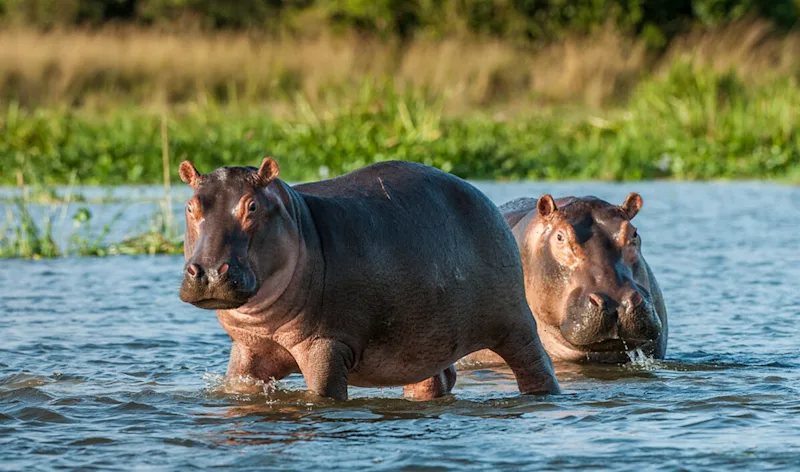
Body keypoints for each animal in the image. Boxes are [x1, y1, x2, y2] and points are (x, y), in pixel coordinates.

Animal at [178, 158, 559, 401]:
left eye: (252, 206)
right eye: (190, 206)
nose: (209, 272)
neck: (298, 220)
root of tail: (483, 198)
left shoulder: (326, 344)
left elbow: (324, 395)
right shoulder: (248, 348)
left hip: (515, 323)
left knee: (535, 365)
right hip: (423, 340)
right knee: (434, 379)